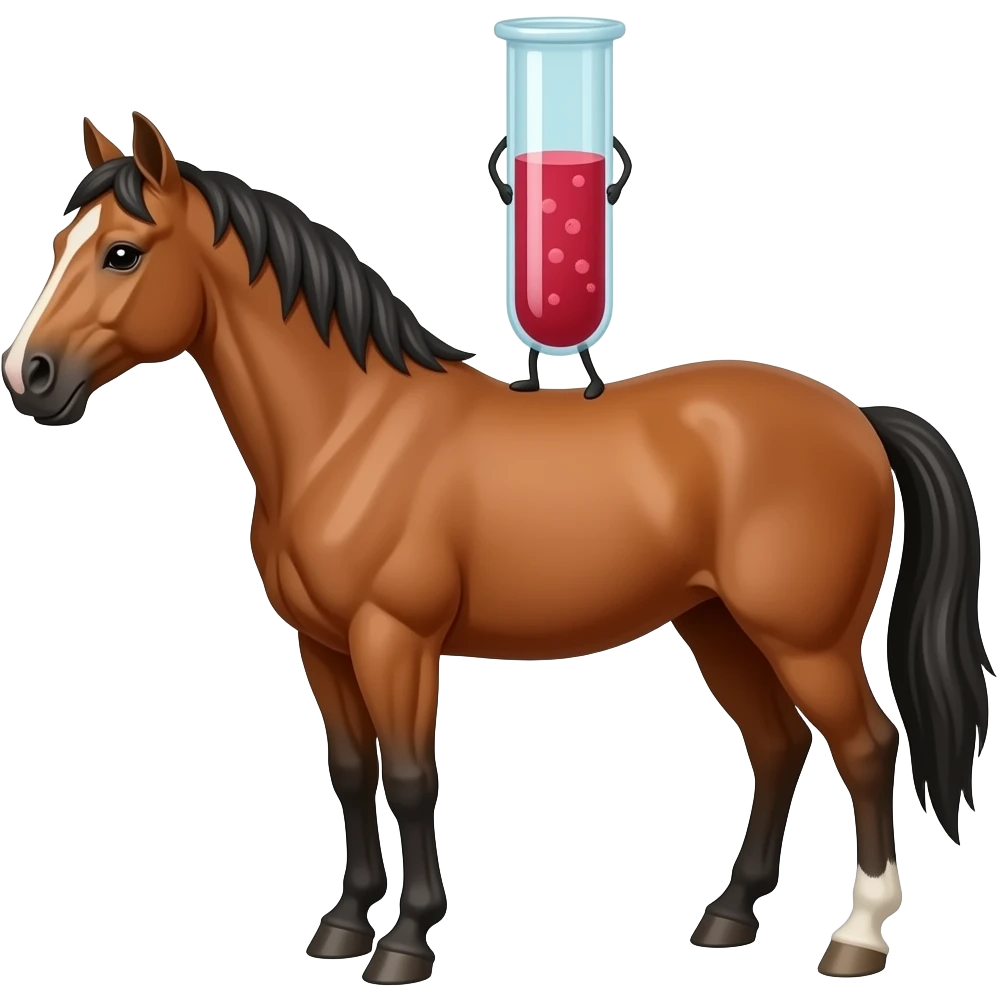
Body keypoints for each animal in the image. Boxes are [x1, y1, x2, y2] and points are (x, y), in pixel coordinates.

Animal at [3, 112, 992, 985]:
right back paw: (729, 915)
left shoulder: (394, 640)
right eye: (57, 245)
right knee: (780, 745)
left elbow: (411, 777)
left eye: (122, 252)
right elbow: (351, 772)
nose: (29, 376)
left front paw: (405, 942)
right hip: (718, 626)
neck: (349, 432)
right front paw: (343, 925)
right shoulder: (323, 646)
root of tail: (857, 418)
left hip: (805, 639)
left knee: (866, 747)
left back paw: (856, 937)